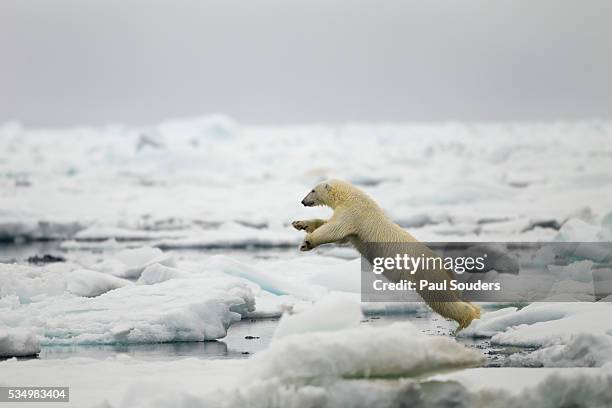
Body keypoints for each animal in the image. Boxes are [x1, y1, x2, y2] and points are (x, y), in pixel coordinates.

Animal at [292, 179, 482, 332]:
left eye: (313, 190)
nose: (302, 201)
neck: (351, 197)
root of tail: (445, 267)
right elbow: (337, 234)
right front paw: (299, 224)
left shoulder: (353, 213)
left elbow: (334, 230)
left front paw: (306, 242)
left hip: (426, 275)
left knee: (442, 300)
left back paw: (466, 321)